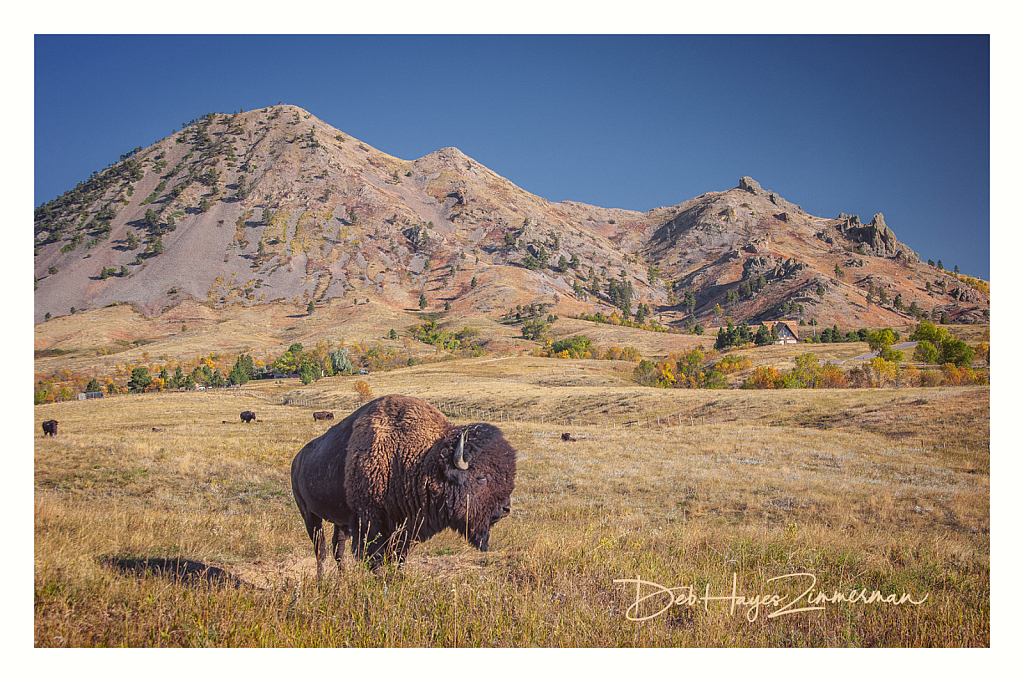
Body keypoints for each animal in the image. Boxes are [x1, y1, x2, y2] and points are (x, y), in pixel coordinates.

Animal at [290, 393, 516, 573]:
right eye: (481, 477)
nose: (505, 508)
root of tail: (297, 460)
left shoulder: (404, 528)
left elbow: (396, 559)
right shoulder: (369, 522)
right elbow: (375, 560)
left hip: (341, 522)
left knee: (338, 549)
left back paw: (342, 578)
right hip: (309, 515)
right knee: (321, 550)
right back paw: (321, 581)